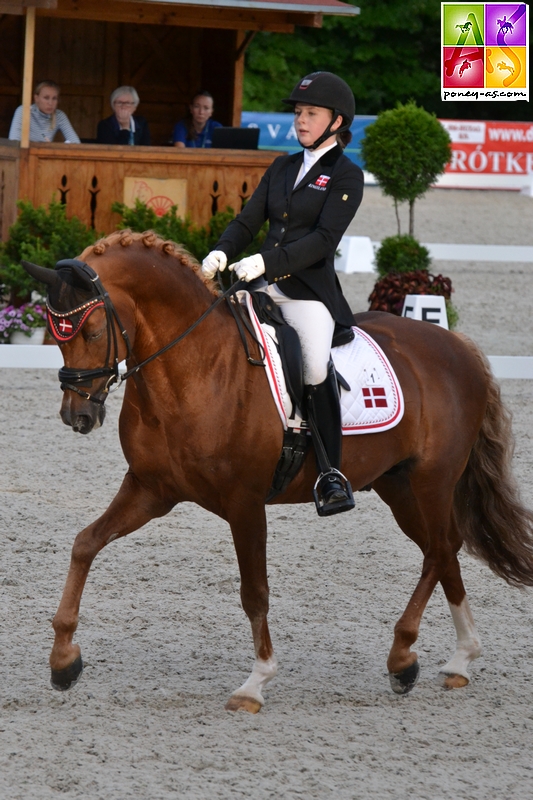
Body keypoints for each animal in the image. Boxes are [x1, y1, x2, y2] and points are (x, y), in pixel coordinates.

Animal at [23, 230, 532, 712]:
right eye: (55, 333)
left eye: (91, 331)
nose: (77, 416)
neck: (195, 367)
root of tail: (458, 345)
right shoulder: (152, 490)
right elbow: (85, 543)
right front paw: (63, 660)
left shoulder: (245, 503)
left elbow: (255, 591)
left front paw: (256, 683)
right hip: (399, 486)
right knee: (444, 550)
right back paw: (458, 659)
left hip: (432, 480)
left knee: (440, 550)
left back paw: (404, 655)